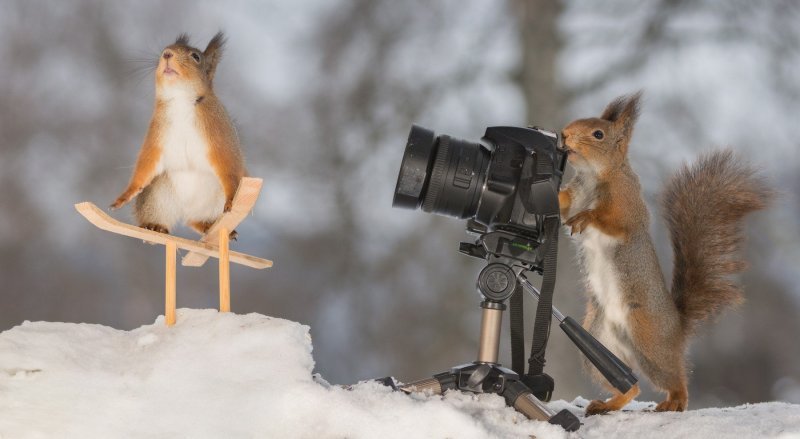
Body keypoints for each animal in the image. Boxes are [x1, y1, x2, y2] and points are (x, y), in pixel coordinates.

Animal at [110, 31, 244, 237]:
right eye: (166, 48)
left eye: (196, 57)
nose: (166, 53)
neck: (180, 99)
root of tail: (186, 209)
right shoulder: (156, 136)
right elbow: (145, 166)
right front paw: (124, 196)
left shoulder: (219, 134)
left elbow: (228, 165)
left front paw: (231, 199)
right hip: (156, 196)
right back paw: (154, 226)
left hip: (212, 202)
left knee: (195, 220)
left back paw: (210, 227)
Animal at [560, 93, 772, 416]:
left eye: (598, 134)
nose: (563, 135)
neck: (593, 175)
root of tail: (677, 327)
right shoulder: (574, 194)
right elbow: (562, 205)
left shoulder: (627, 205)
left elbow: (613, 221)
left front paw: (587, 217)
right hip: (595, 342)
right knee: (631, 386)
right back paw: (607, 404)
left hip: (648, 340)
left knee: (673, 378)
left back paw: (674, 402)